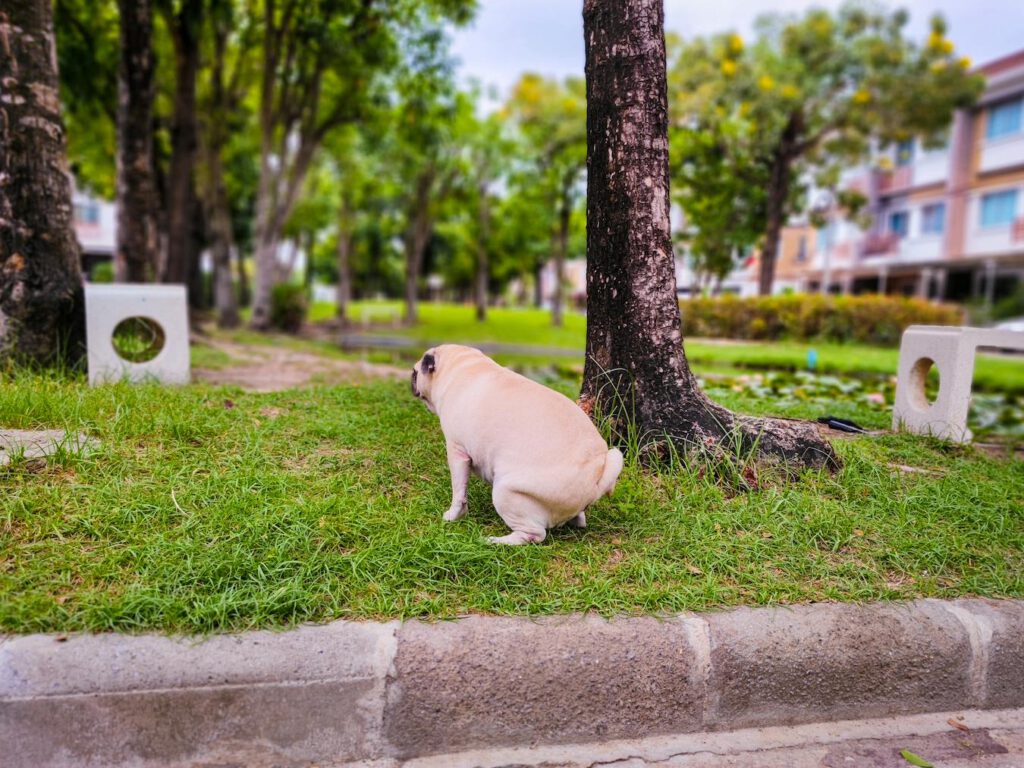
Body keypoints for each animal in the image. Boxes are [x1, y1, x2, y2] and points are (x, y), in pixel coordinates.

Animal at [409, 346, 622, 544]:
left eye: (415, 372)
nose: (411, 380)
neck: (460, 367)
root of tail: (597, 470)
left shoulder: (457, 452)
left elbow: (459, 493)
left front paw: (453, 516)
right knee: (578, 519)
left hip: (505, 492)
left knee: (535, 534)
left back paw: (495, 541)